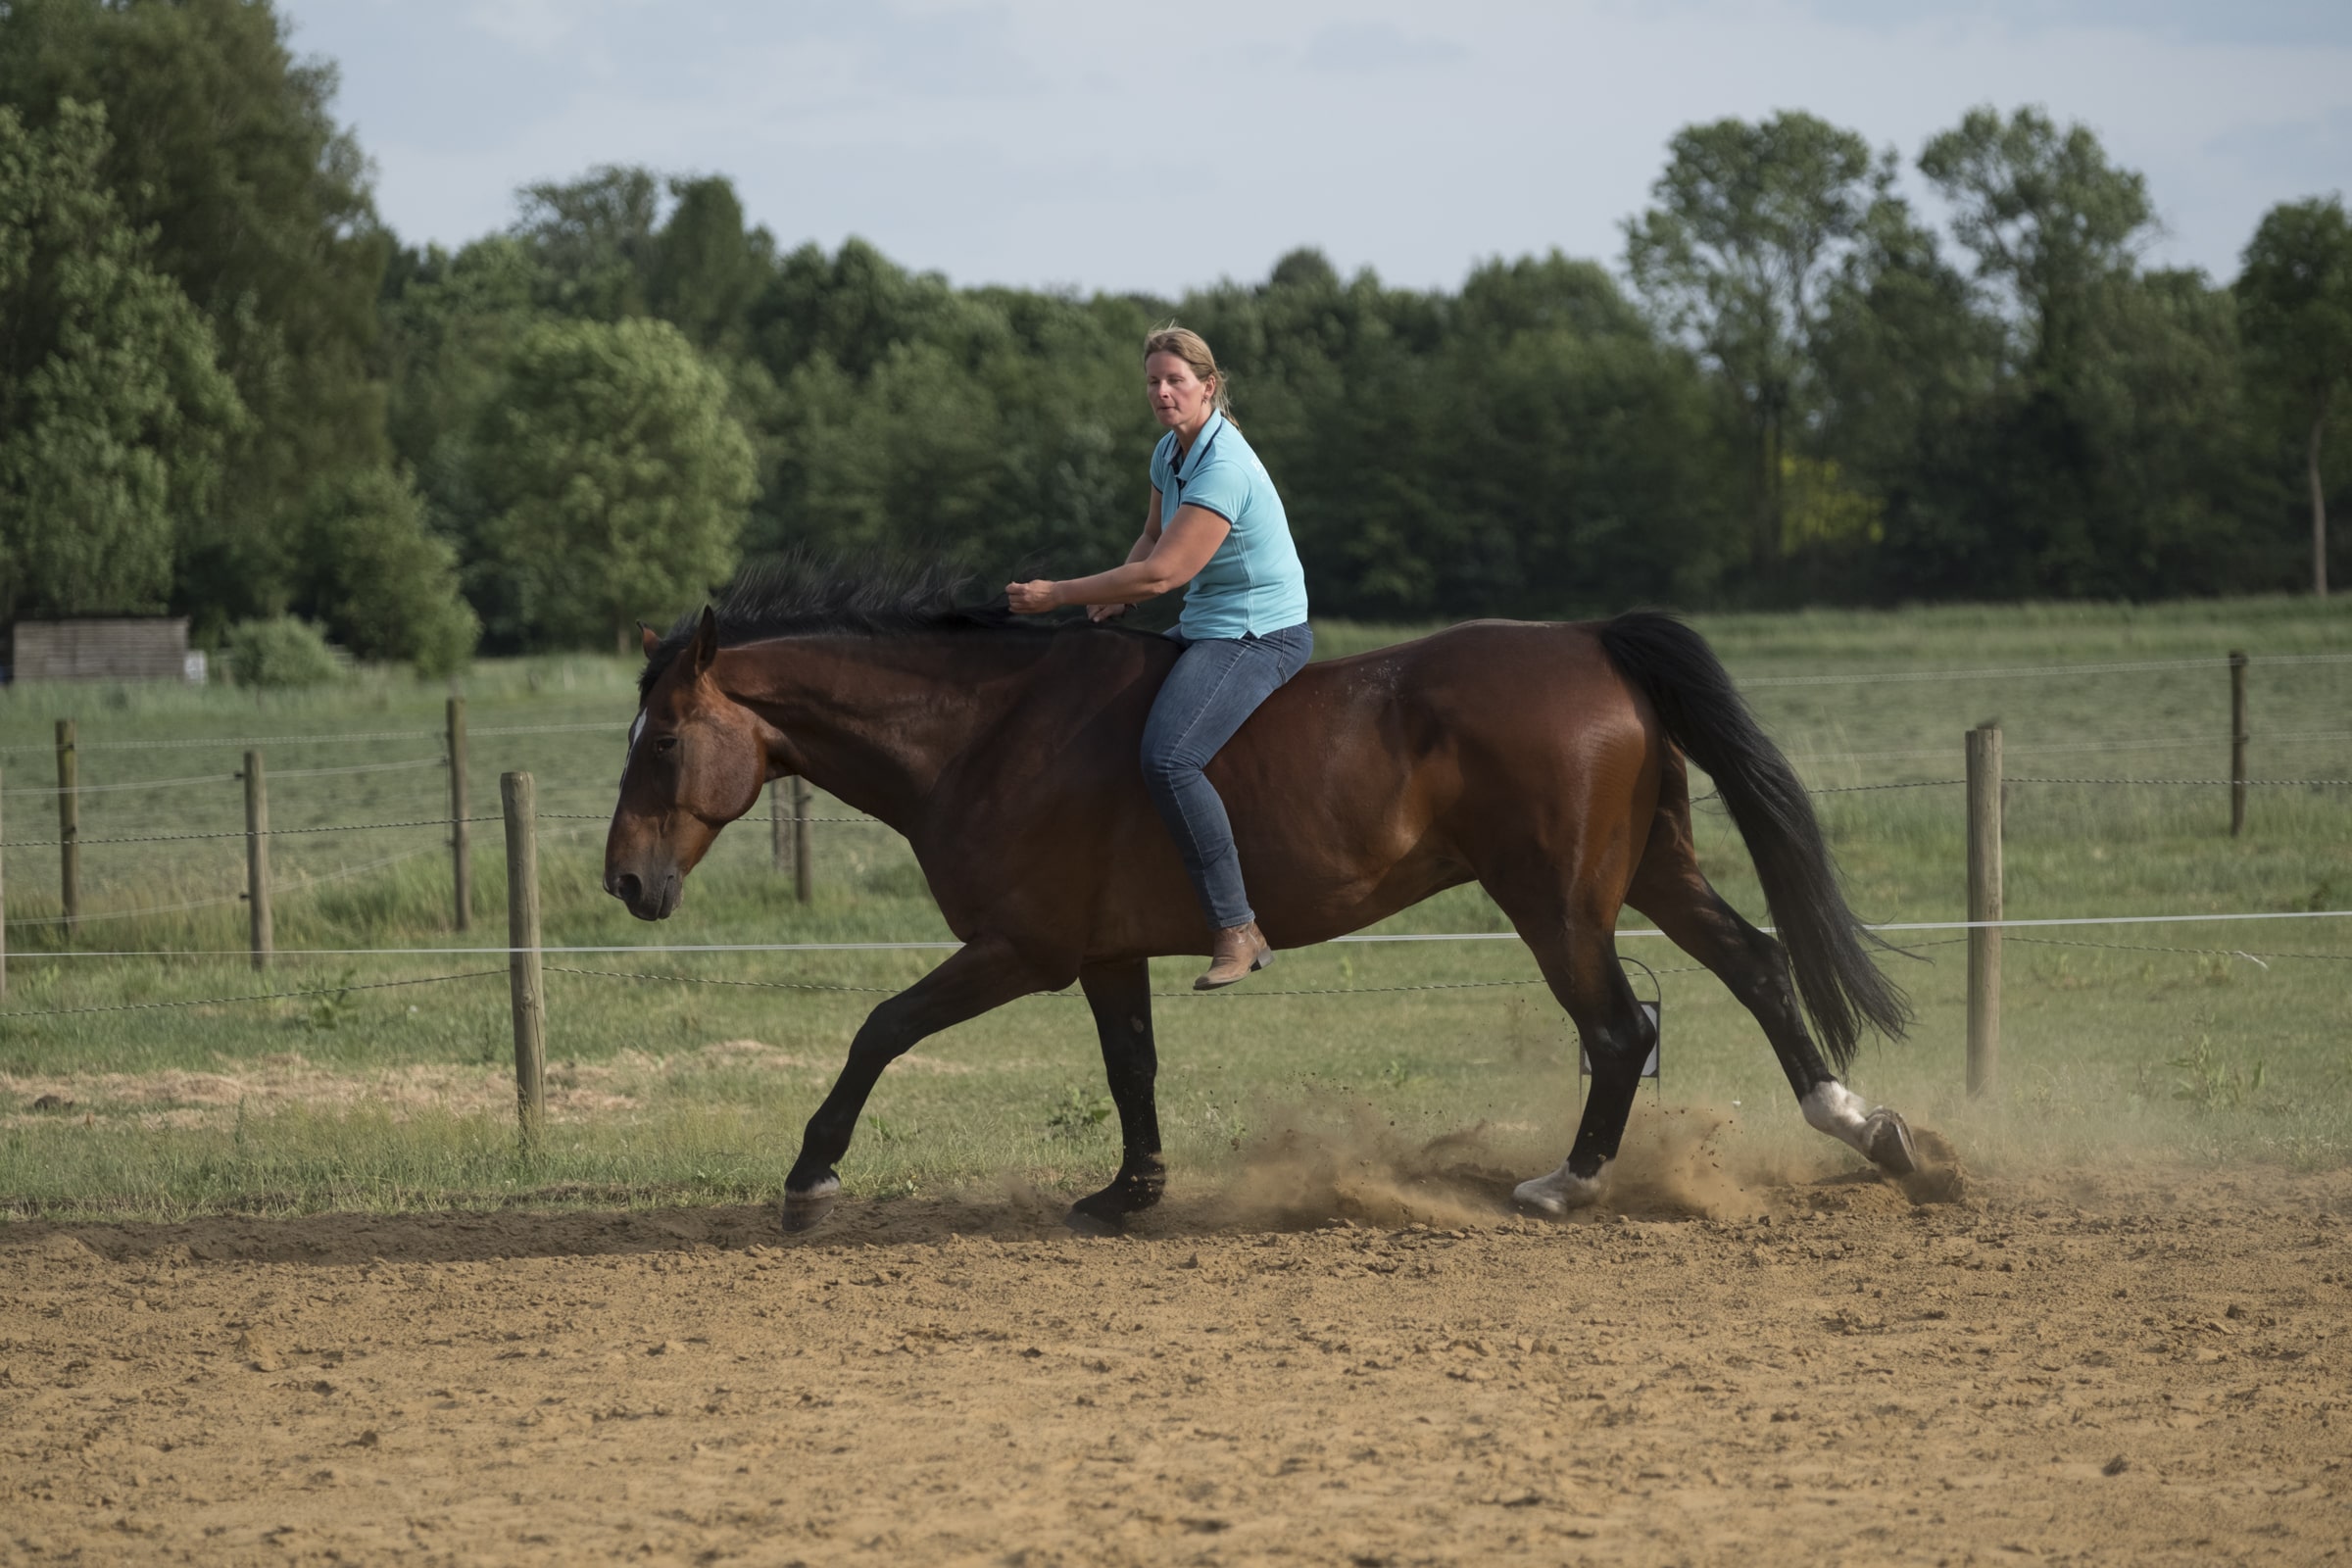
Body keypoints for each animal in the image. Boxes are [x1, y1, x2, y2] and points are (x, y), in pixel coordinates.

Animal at [607, 566, 1909, 1241]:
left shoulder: (1019, 947)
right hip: (1649, 873)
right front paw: (1130, 1194)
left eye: (663, 740)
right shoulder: (1102, 953)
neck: (985, 729)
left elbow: (881, 1028)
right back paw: (1868, 1129)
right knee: (1758, 965)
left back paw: (1567, 1183)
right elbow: (1131, 1064)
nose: (624, 879)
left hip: (1557, 903)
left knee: (1620, 1028)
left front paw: (809, 1178)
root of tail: (1592, 639)